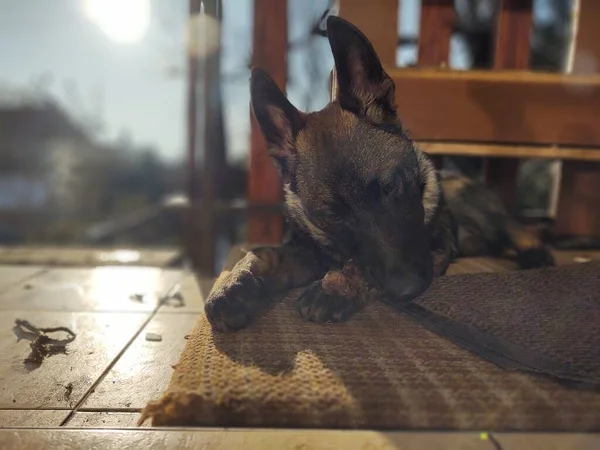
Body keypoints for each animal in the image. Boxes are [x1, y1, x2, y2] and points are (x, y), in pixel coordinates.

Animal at [205, 15, 552, 332]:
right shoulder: (306, 253)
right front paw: (231, 286)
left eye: (390, 187)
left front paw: (335, 288)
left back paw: (533, 255)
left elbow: (360, 265)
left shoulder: (436, 244)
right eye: (333, 216)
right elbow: (261, 254)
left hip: (472, 204)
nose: (407, 290)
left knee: (518, 231)